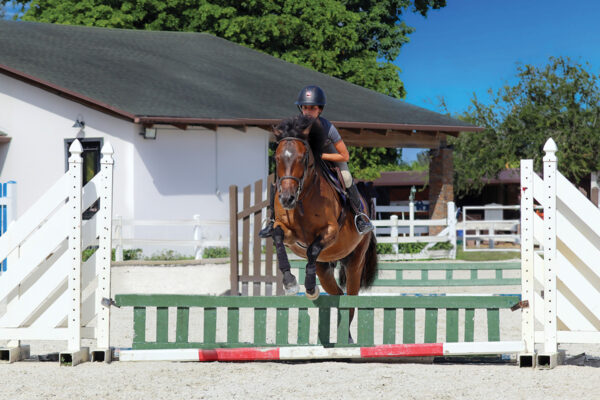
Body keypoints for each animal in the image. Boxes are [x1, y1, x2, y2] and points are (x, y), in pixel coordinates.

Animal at [272, 115, 380, 324]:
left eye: (303, 158)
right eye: (277, 158)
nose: (287, 199)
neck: (303, 197)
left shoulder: (330, 231)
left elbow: (313, 248)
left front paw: (310, 288)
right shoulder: (289, 233)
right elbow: (278, 236)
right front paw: (289, 283)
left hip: (355, 261)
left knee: (349, 300)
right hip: (324, 267)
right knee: (337, 294)